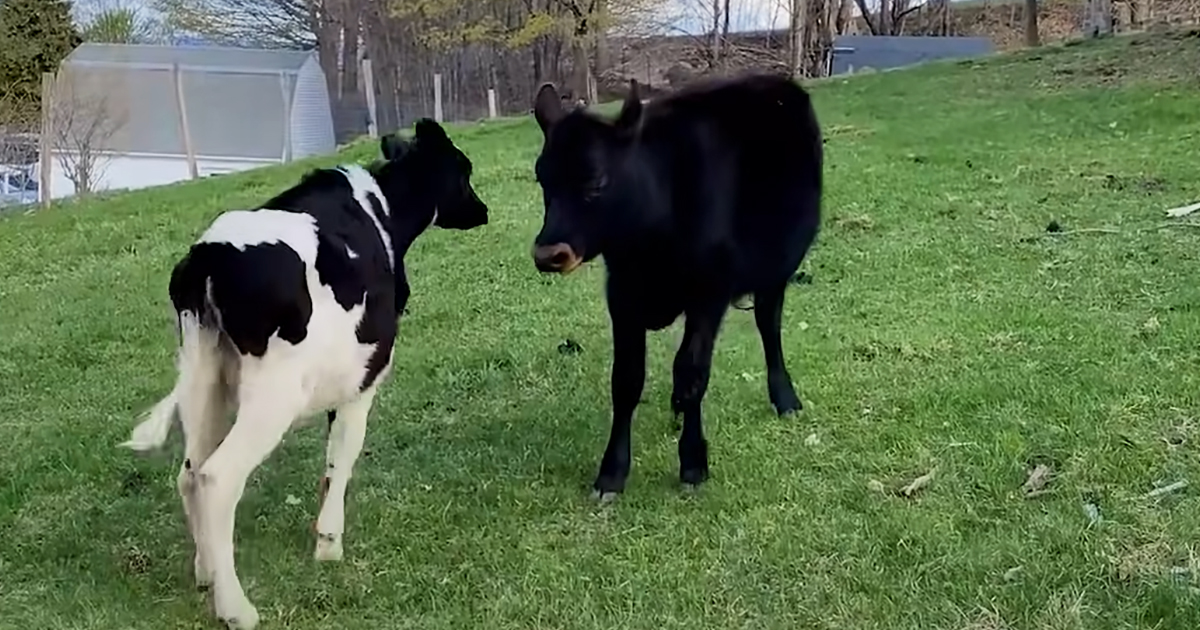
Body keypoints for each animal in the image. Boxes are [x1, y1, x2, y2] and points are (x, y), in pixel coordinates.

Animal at [119, 118, 489, 630]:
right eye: (464, 170)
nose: (483, 210)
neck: (382, 212)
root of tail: (210, 255)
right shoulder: (363, 381)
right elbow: (341, 460)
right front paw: (328, 546)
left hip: (202, 377)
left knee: (190, 472)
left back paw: (206, 573)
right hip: (273, 396)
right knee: (216, 478)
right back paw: (237, 608)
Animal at [528, 74, 823, 499]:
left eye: (596, 181)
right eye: (542, 179)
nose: (548, 253)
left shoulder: (710, 292)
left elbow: (691, 373)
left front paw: (693, 463)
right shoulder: (623, 295)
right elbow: (626, 379)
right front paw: (611, 474)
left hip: (776, 271)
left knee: (769, 327)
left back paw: (785, 398)